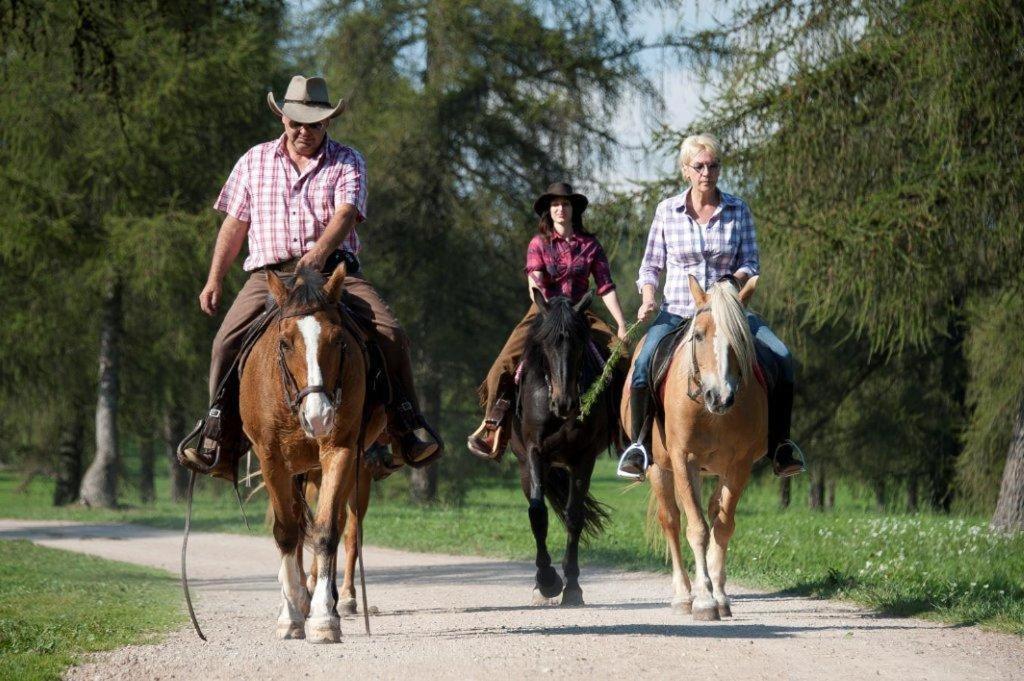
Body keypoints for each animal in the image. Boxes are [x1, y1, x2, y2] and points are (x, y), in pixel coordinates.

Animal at [241, 266, 385, 643]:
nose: (319, 416)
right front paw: (291, 615)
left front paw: (324, 617)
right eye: (285, 342)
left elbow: (327, 531)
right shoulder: (272, 459)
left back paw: (336, 598)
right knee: (293, 525)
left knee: (341, 527)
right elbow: (286, 532)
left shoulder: (342, 452)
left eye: (338, 341)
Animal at [509, 288, 622, 602]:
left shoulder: (583, 458)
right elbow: (537, 513)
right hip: (524, 467)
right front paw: (547, 581)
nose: (565, 403)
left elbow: (574, 516)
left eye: (580, 344)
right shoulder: (535, 453)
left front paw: (572, 586)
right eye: (545, 344)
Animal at [618, 274, 765, 622]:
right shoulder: (683, 460)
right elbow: (696, 528)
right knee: (672, 520)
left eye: (741, 338)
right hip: (661, 468)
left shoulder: (739, 466)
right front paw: (704, 601)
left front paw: (719, 596)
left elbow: (722, 526)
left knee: (708, 511)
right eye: (698, 335)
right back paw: (684, 595)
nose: (719, 396)